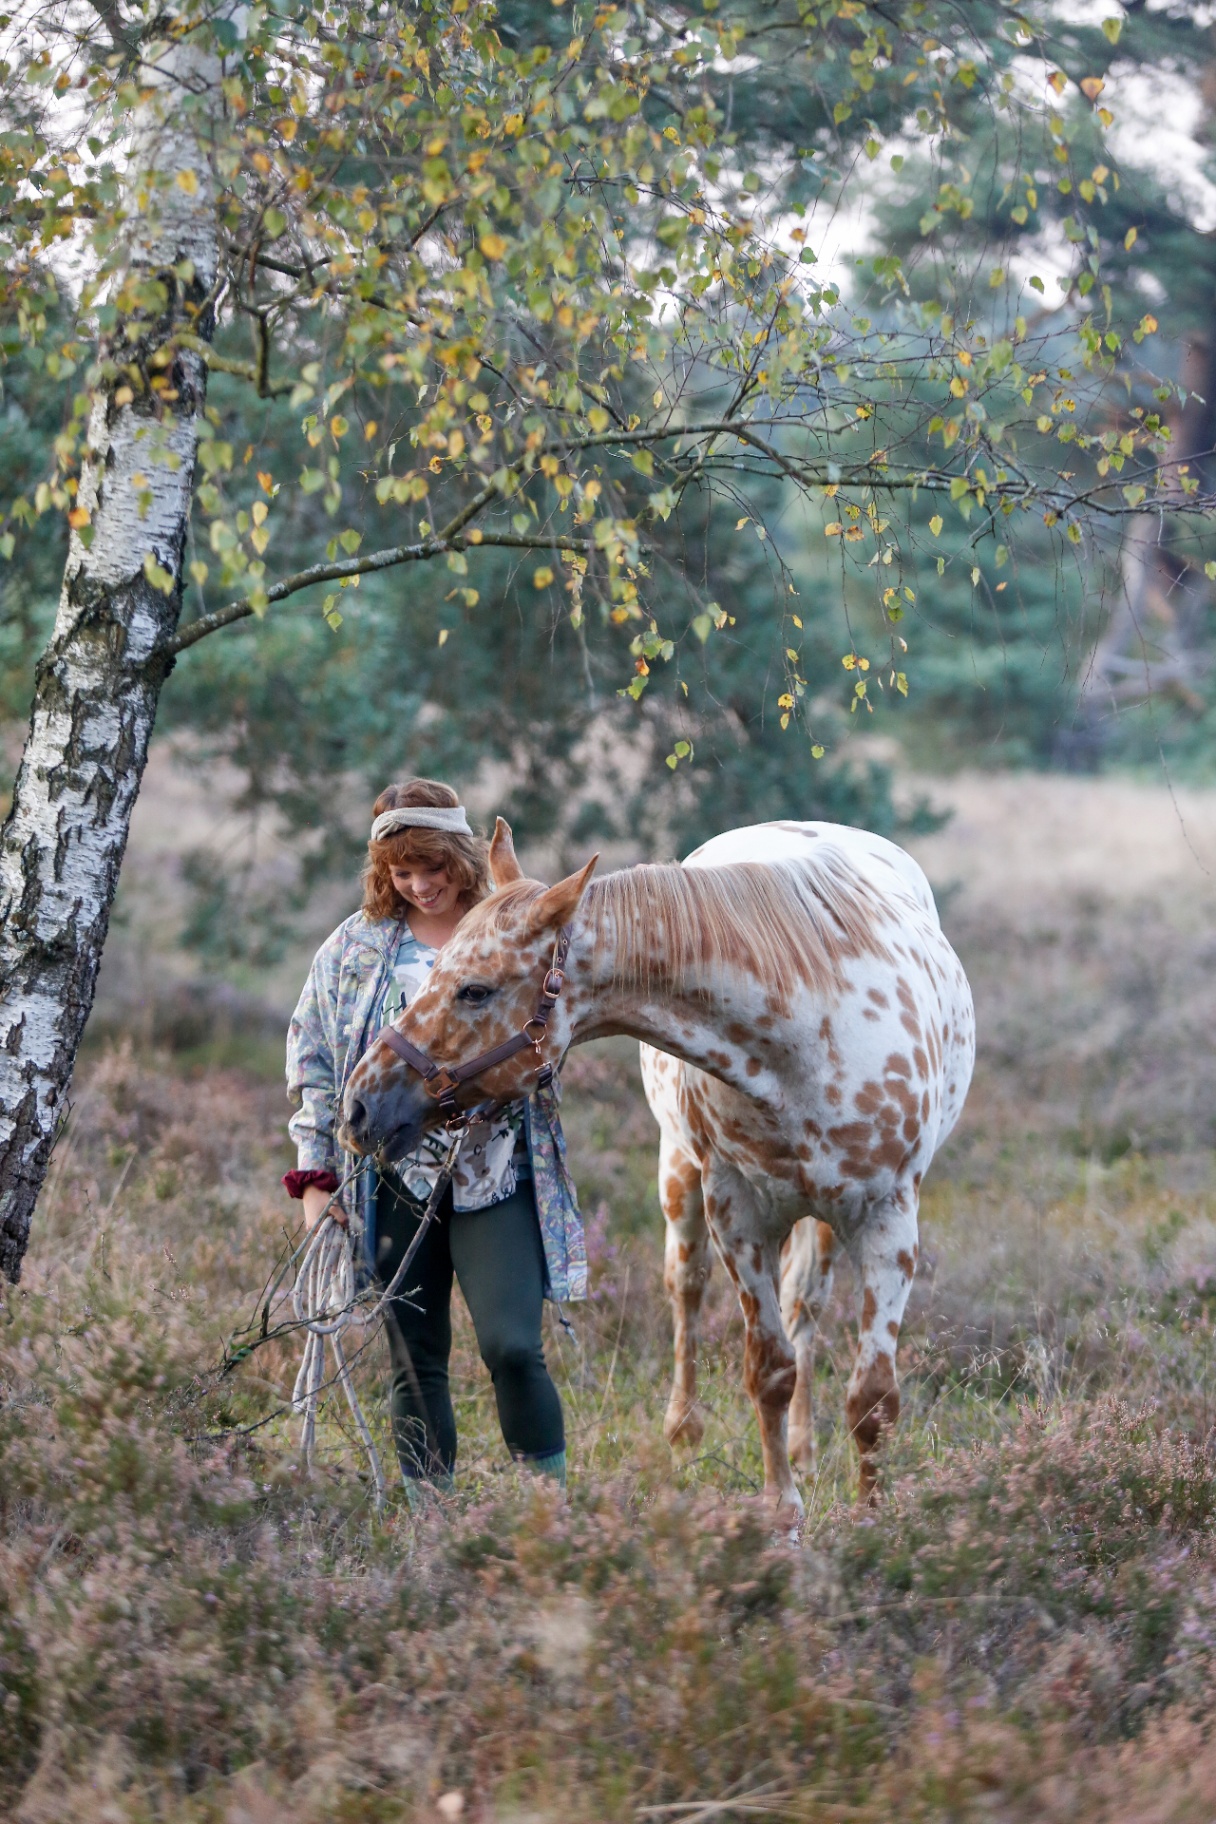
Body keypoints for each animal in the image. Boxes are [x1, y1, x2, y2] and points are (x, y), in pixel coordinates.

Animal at [342, 818, 975, 1517]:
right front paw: (783, 1517)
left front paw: (868, 1520)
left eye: (475, 990)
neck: (809, 1038)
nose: (360, 1103)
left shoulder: (888, 1220)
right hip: (683, 1176)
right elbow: (769, 1372)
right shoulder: (737, 1214)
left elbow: (873, 1400)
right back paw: (686, 1433)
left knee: (806, 1303)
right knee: (688, 1288)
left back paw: (806, 1448)